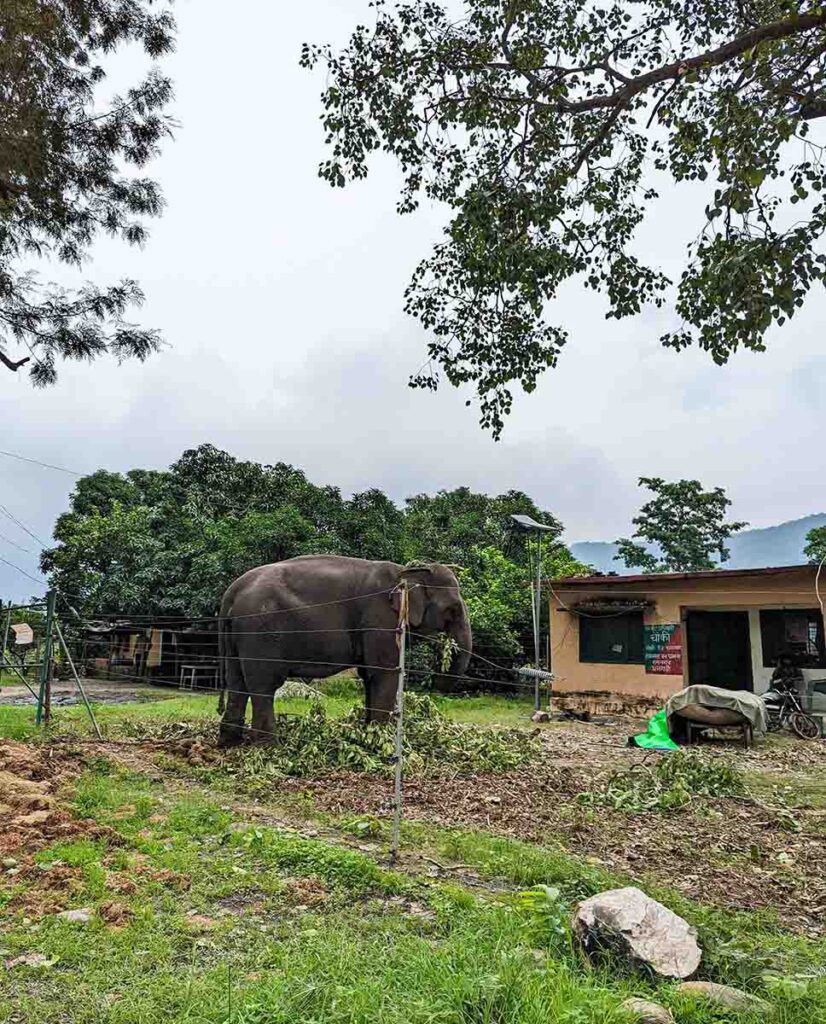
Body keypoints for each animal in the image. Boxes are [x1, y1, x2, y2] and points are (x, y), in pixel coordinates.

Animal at [215, 552, 470, 745]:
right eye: (452, 609)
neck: (407, 571)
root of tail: (230, 593)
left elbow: (369, 676)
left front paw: (367, 735)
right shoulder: (379, 618)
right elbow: (383, 673)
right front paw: (382, 742)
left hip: (237, 635)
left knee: (237, 681)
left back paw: (230, 742)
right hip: (260, 631)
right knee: (263, 685)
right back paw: (269, 747)